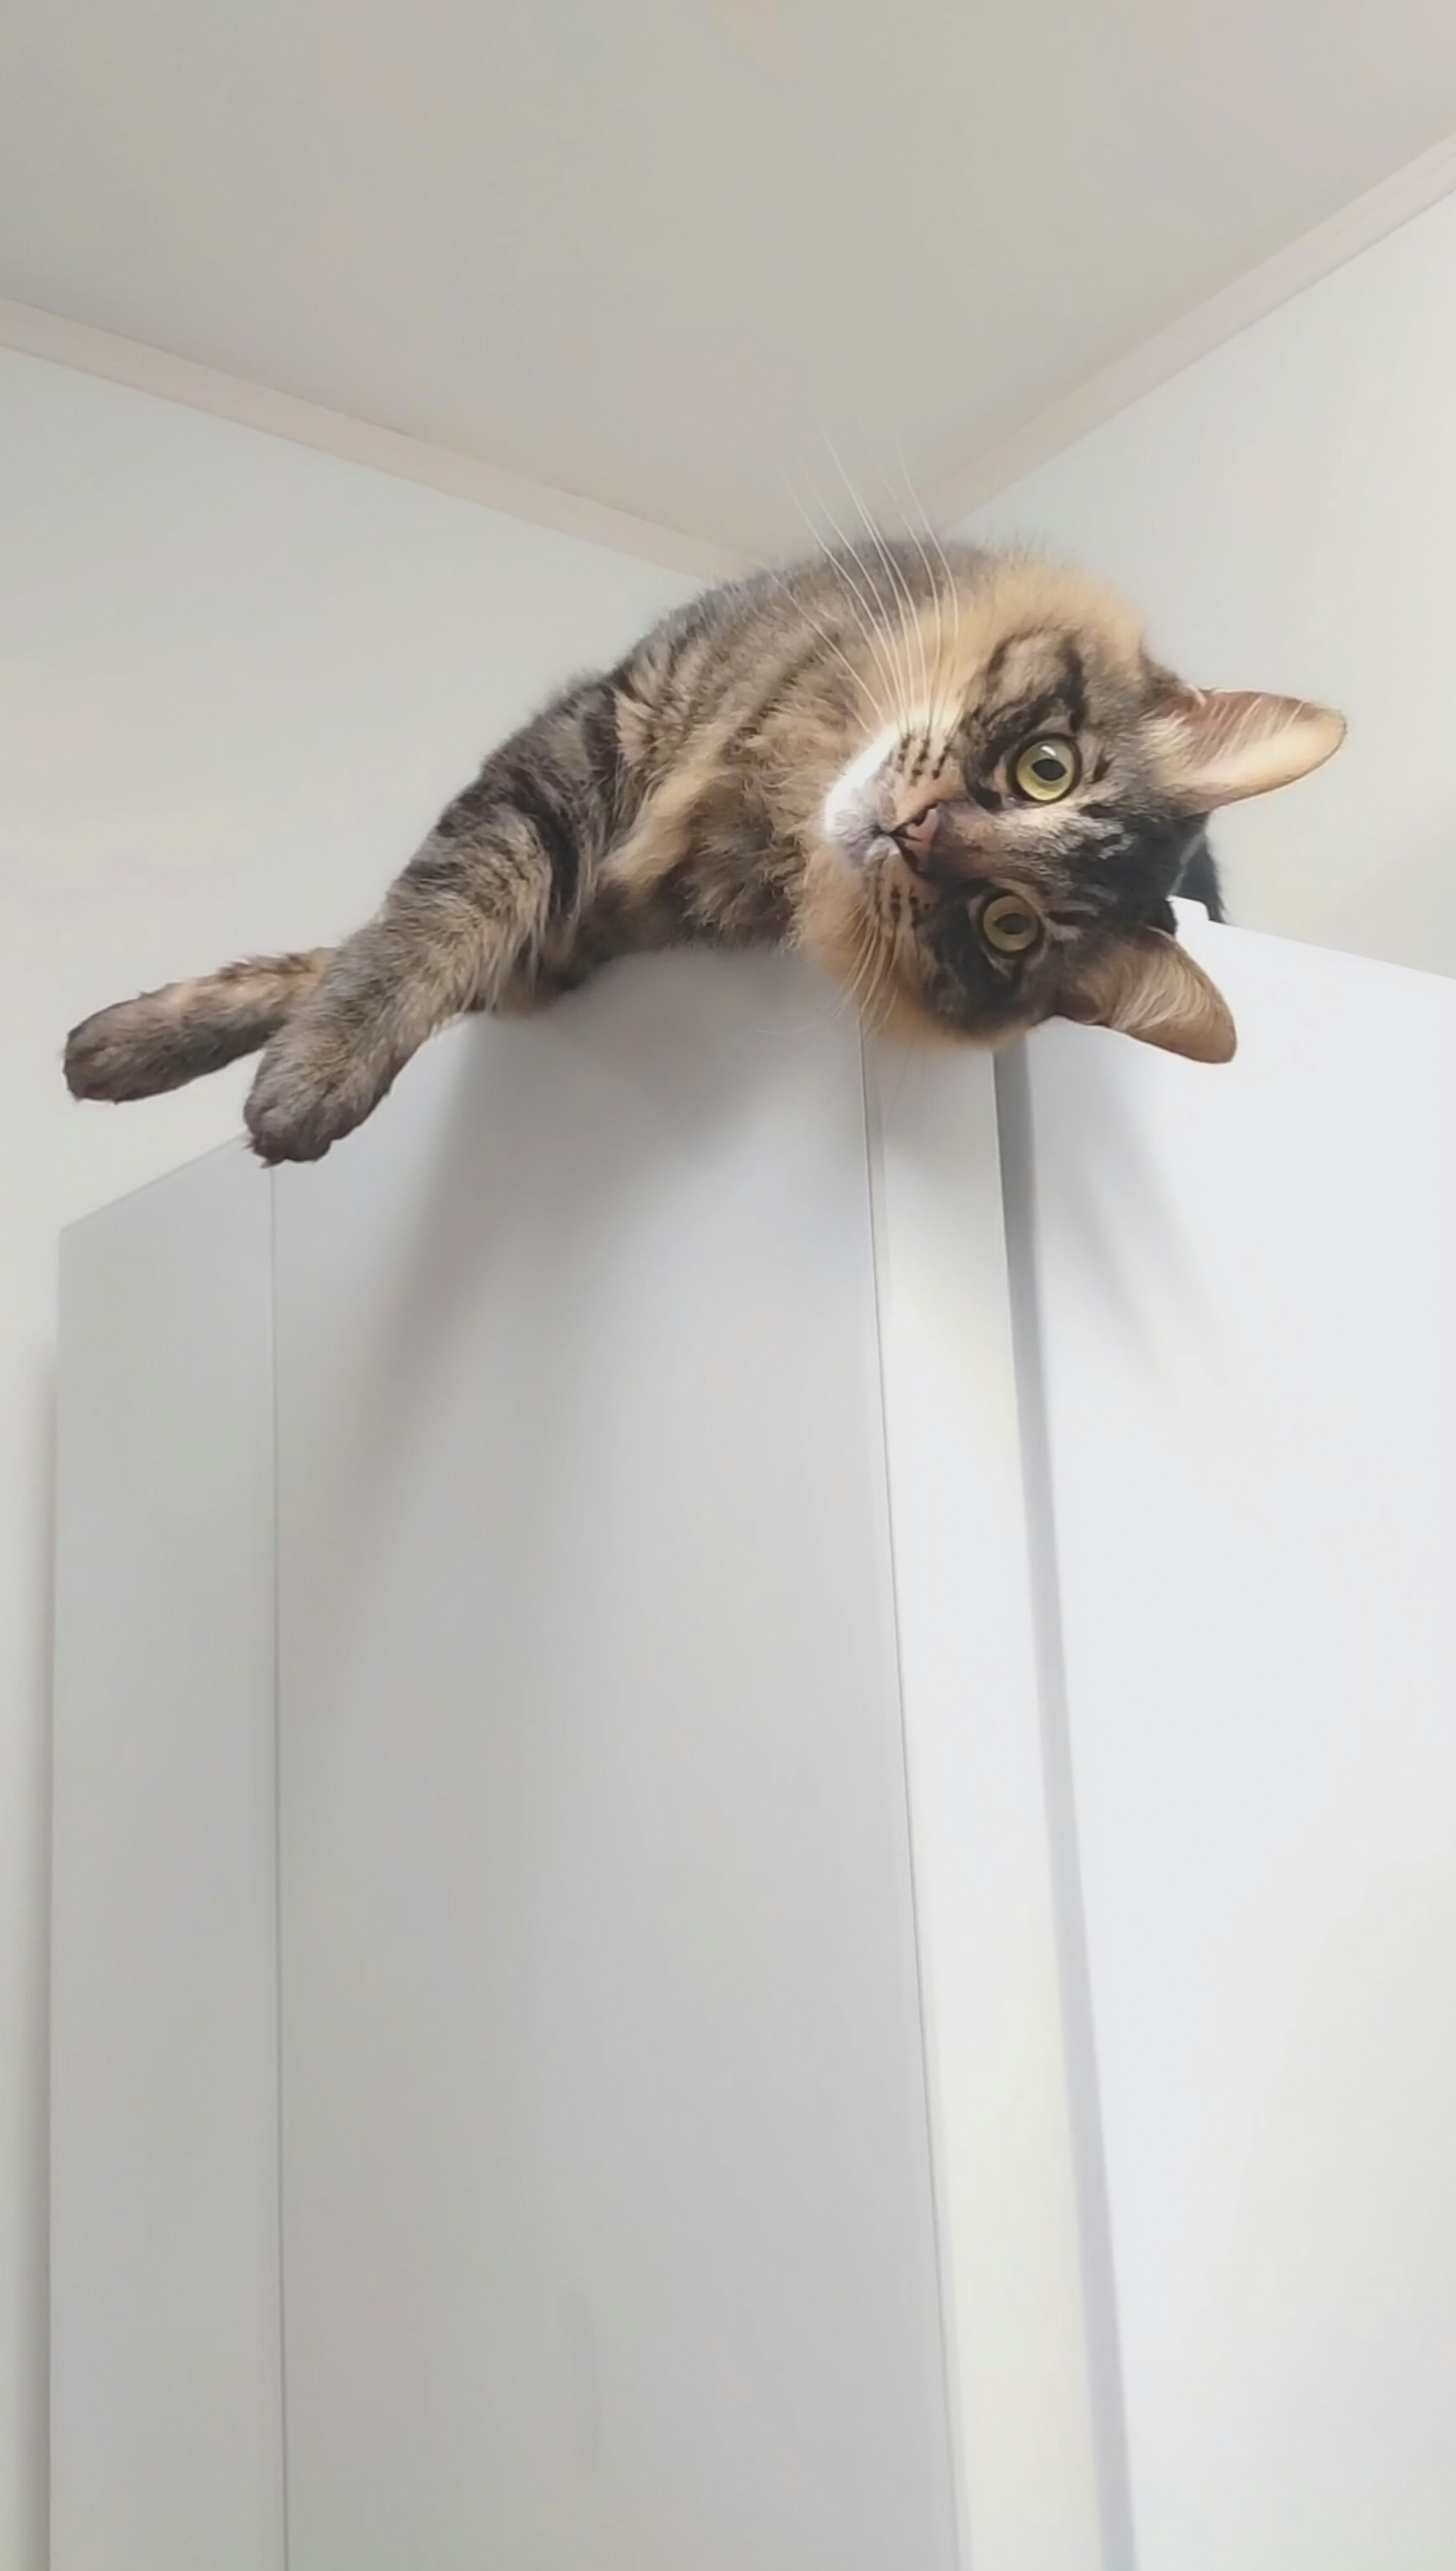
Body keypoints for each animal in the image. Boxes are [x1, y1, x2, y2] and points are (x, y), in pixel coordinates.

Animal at [66, 542, 1348, 1167]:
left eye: (1006, 925)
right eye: (1046, 769)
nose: (920, 832)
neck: (772, 793)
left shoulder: (555, 949)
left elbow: (412, 933)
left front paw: (301, 1083)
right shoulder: (597, 730)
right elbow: (390, 930)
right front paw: (129, 1048)